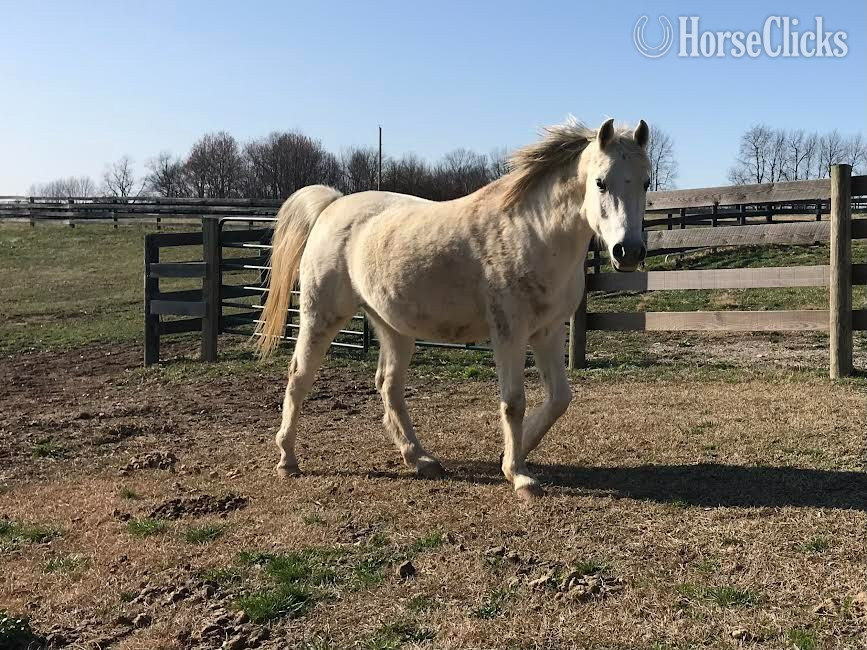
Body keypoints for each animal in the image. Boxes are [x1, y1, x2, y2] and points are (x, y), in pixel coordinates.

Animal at [255, 117, 651, 499]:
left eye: (646, 182)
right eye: (600, 182)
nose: (628, 252)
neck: (533, 232)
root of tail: (332, 205)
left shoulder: (547, 332)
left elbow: (559, 398)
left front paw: (510, 457)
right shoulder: (509, 333)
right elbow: (513, 401)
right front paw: (519, 476)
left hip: (394, 327)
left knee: (388, 386)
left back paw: (420, 459)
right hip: (321, 316)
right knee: (299, 378)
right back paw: (287, 460)